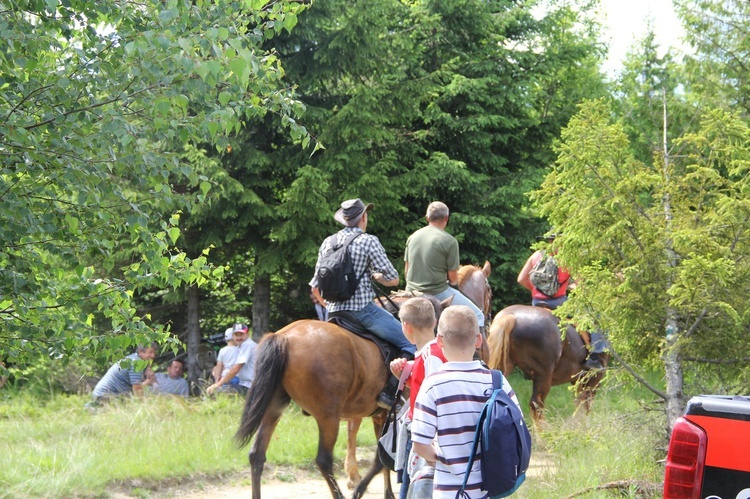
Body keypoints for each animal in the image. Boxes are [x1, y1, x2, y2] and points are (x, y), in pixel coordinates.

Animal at [238, 320, 396, 499]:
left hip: (273, 409)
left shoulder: (381, 417)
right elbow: (381, 459)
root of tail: (284, 337)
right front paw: (360, 489)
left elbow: (382, 458)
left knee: (257, 455)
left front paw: (387, 493)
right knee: (324, 460)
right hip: (328, 417)